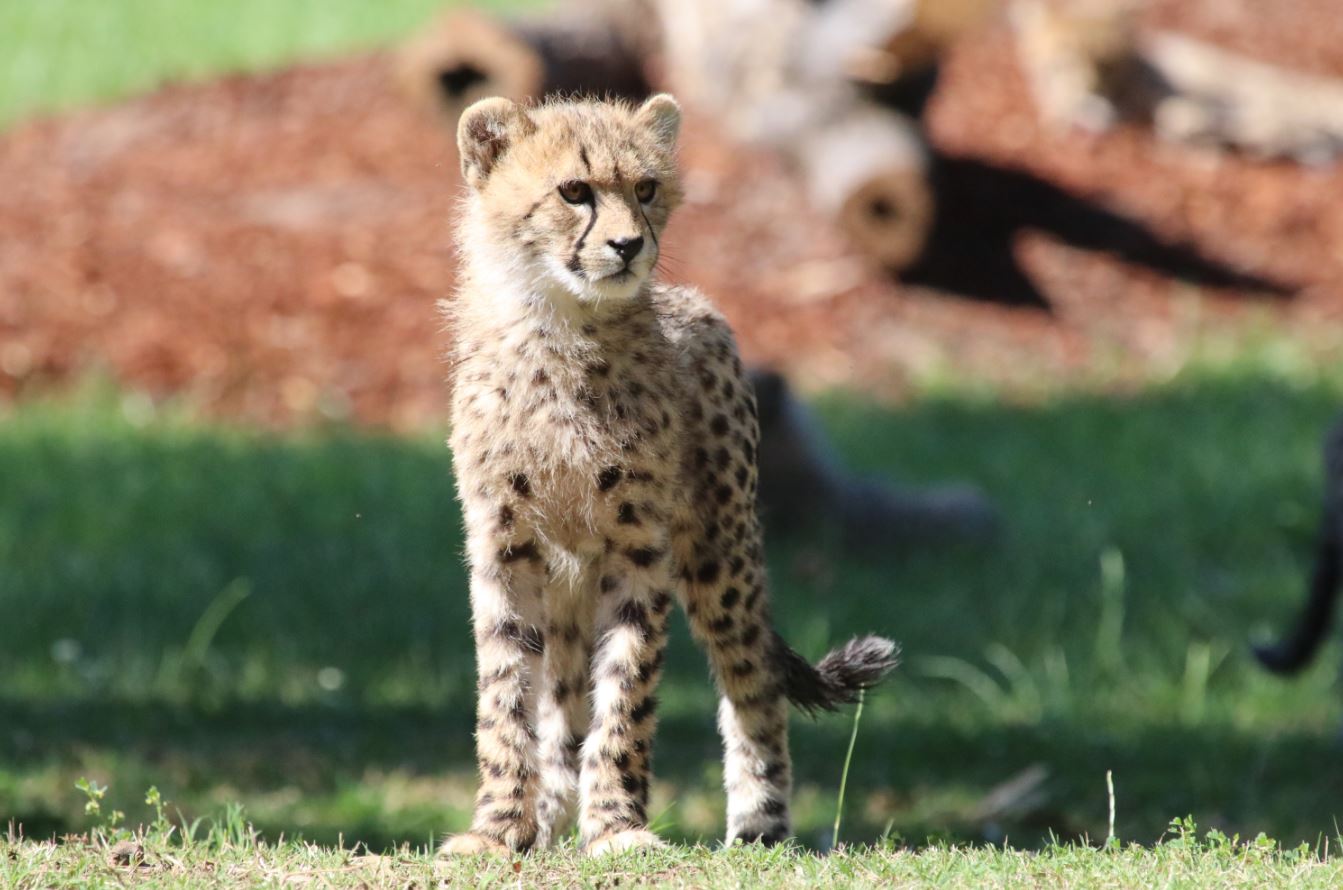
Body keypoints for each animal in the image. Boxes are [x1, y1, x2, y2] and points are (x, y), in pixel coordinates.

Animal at [440, 93, 898, 857]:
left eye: (647, 188)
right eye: (574, 191)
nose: (629, 245)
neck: (559, 329)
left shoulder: (639, 547)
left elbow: (626, 697)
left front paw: (617, 828)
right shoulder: (504, 547)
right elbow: (505, 697)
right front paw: (498, 830)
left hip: (721, 554)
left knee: (752, 683)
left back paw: (758, 828)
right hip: (570, 590)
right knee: (560, 702)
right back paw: (547, 821)